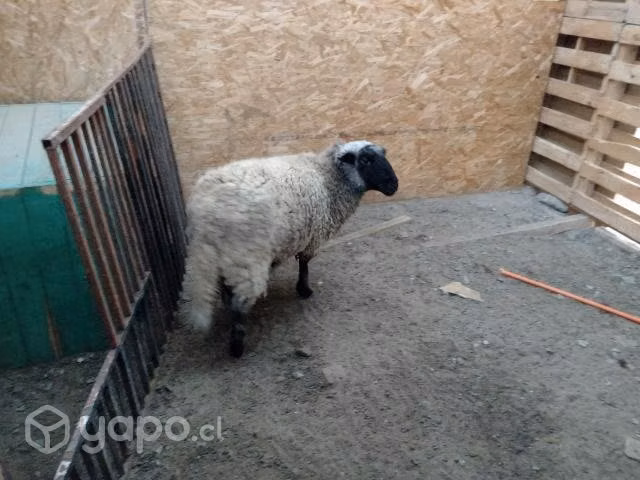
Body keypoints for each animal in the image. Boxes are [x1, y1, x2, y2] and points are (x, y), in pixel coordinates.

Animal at [182, 140, 399, 357]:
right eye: (366, 160)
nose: (394, 185)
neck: (328, 176)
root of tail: (204, 214)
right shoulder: (312, 237)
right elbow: (304, 264)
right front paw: (304, 290)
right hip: (245, 257)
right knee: (239, 303)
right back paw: (237, 346)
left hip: (226, 257)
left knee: (227, 291)